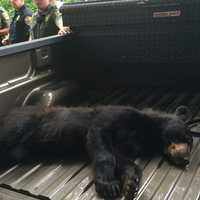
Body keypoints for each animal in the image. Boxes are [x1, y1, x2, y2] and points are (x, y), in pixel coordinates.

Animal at [0, 105, 195, 199]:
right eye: (187, 138)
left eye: (191, 143)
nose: (186, 160)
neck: (146, 132)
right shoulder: (109, 119)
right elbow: (102, 147)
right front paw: (107, 184)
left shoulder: (124, 146)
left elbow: (123, 160)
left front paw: (130, 184)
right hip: (19, 125)